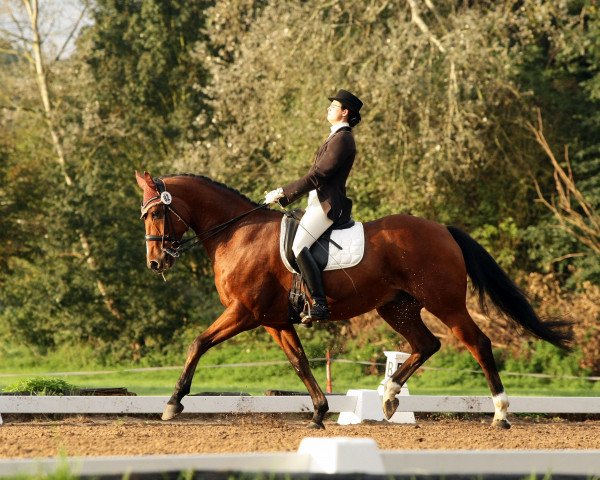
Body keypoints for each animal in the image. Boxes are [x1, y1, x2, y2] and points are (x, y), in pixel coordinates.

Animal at [135, 172, 572, 428]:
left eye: (155, 214)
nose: (155, 262)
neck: (236, 233)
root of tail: (443, 230)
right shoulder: (275, 320)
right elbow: (300, 362)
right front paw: (319, 412)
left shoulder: (245, 312)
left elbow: (198, 343)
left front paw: (173, 403)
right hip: (396, 306)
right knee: (426, 344)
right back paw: (389, 398)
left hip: (445, 303)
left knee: (477, 343)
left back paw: (500, 413)